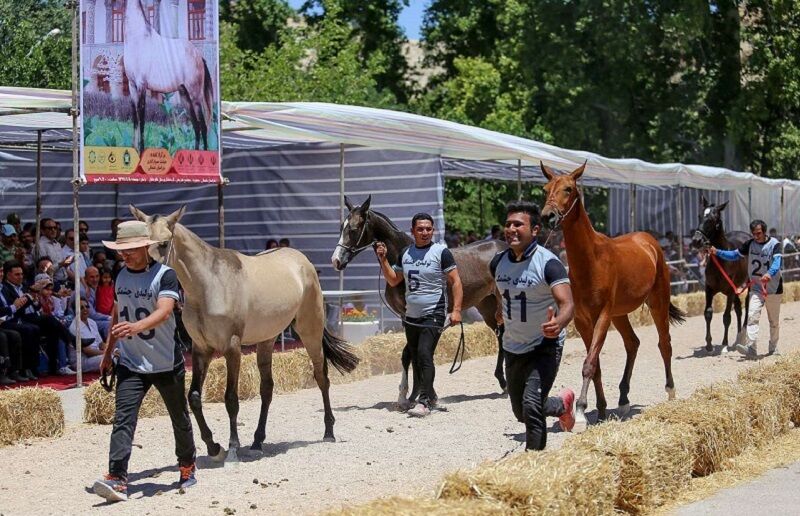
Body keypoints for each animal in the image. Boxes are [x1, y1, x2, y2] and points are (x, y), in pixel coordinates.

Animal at [123, 0, 214, 154]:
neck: (138, 39)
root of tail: (199, 56)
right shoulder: (132, 86)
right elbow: (135, 118)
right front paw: (134, 150)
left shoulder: (141, 85)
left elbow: (142, 117)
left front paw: (141, 152)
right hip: (185, 97)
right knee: (196, 127)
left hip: (195, 96)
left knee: (202, 126)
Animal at [133, 206, 358, 460]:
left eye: (163, 244)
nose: (146, 278)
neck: (209, 284)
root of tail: (302, 261)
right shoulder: (201, 349)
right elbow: (194, 397)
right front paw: (213, 446)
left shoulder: (232, 348)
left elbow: (231, 399)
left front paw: (232, 448)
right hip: (267, 340)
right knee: (267, 388)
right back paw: (258, 441)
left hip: (310, 332)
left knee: (322, 378)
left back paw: (329, 431)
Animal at [330, 196, 506, 406]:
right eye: (341, 227)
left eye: (354, 229)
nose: (336, 261)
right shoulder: (405, 317)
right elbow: (410, 353)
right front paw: (410, 394)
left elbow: (413, 354)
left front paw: (416, 394)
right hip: (487, 306)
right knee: (501, 335)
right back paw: (502, 381)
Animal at [536, 163, 688, 430]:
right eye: (546, 189)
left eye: (568, 188)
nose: (548, 216)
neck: (592, 261)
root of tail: (649, 242)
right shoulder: (582, 320)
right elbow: (594, 364)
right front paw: (601, 409)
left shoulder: (603, 316)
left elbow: (589, 363)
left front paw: (581, 411)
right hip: (621, 314)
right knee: (633, 343)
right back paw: (624, 399)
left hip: (657, 302)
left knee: (664, 344)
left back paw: (670, 390)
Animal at [688, 196, 752, 352]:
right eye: (699, 215)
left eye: (712, 219)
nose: (696, 241)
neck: (723, 257)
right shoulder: (709, 289)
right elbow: (708, 313)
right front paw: (709, 344)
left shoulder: (730, 291)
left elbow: (726, 317)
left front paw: (724, 344)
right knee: (738, 308)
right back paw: (738, 337)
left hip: (748, 284)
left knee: (747, 305)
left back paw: (743, 336)